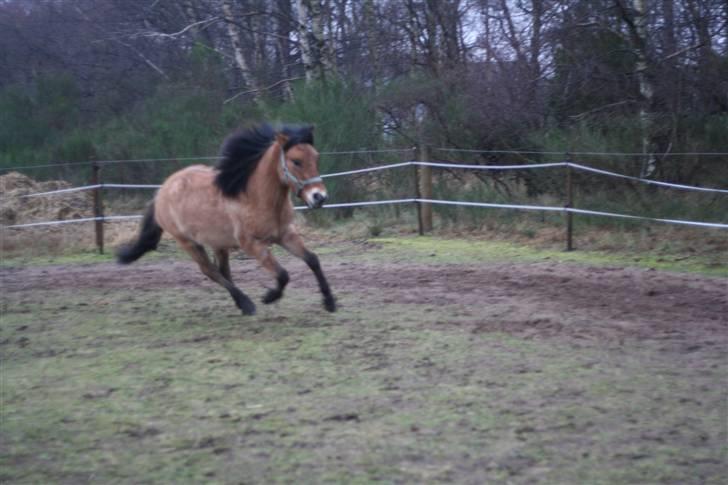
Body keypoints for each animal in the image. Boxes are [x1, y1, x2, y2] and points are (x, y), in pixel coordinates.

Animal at [116, 123, 336, 316]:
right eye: (296, 161)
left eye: (316, 158)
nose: (319, 197)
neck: (255, 198)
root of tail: (162, 190)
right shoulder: (252, 244)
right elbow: (283, 275)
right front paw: (269, 297)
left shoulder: (285, 234)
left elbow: (313, 260)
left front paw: (330, 302)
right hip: (188, 242)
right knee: (210, 271)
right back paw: (247, 304)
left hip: (218, 242)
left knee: (223, 271)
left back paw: (241, 304)